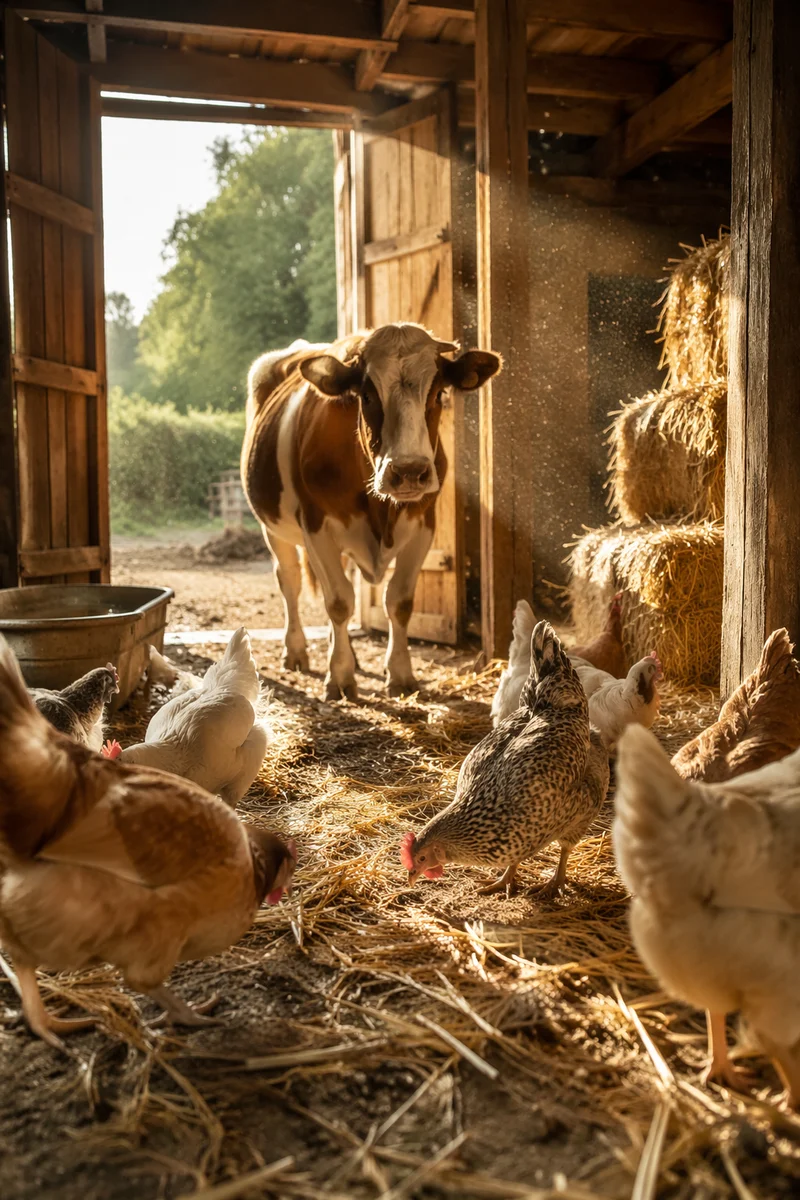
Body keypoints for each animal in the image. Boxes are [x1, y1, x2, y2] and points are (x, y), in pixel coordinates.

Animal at [241, 323, 501, 700]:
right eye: (366, 395)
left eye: (439, 393)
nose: (409, 471)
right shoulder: (316, 525)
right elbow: (338, 602)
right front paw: (340, 676)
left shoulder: (424, 524)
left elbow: (399, 602)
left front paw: (401, 673)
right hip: (273, 528)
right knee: (289, 579)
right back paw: (297, 650)